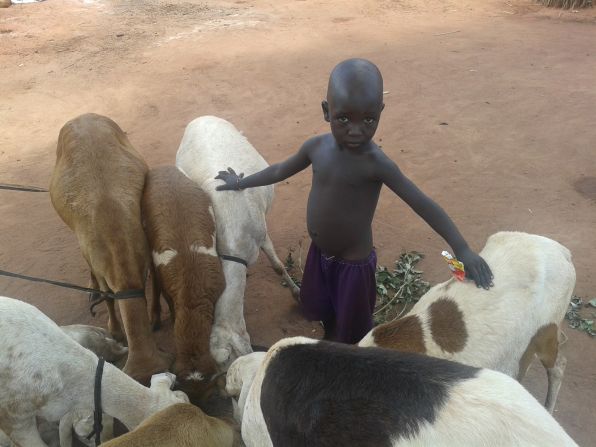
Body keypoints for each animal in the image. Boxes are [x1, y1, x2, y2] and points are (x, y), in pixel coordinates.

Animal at [49, 114, 171, 384]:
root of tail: (83, 116)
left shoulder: (144, 251)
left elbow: (156, 285)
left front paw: (155, 317)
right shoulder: (99, 261)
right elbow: (108, 298)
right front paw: (116, 330)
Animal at [175, 116, 300, 372]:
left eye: (231, 359)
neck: (234, 248)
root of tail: (200, 118)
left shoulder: (261, 234)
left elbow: (278, 266)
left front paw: (296, 292)